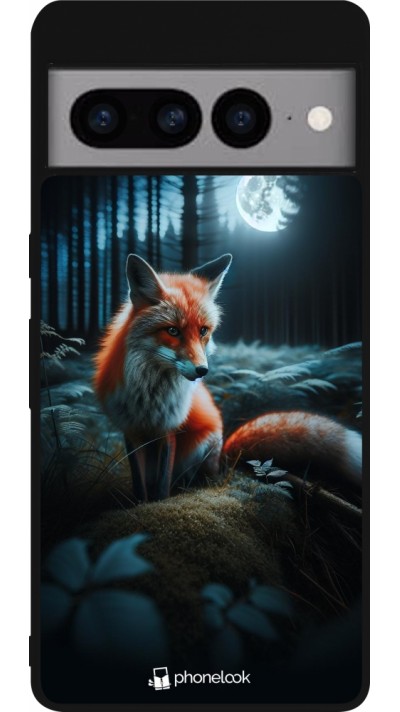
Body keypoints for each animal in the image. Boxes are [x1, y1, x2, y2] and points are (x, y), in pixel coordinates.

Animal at [94, 253, 362, 501]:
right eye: (172, 330)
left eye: (203, 331)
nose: (202, 371)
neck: (149, 393)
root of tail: (225, 455)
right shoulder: (131, 431)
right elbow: (140, 485)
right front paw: (140, 504)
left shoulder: (168, 431)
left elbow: (162, 486)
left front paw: (159, 503)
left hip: (204, 446)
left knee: (199, 479)